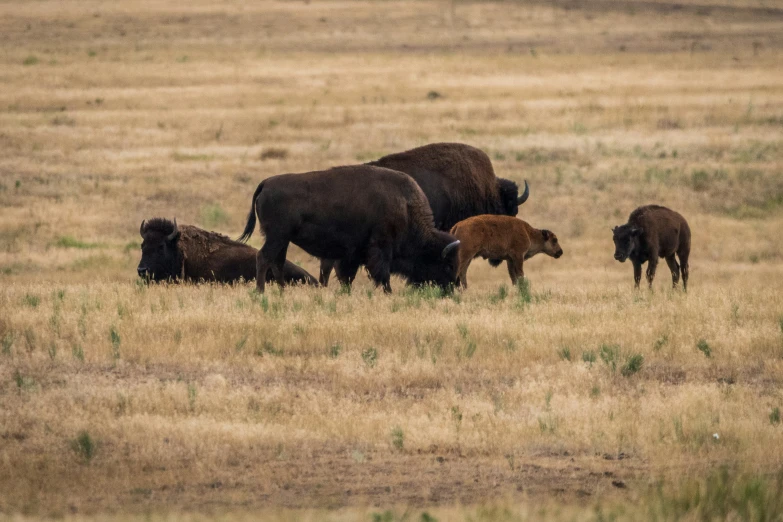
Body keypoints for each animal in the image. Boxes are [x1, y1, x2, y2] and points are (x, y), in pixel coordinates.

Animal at [237, 165, 460, 290]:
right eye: (447, 265)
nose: (451, 289)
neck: (405, 205)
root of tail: (267, 183)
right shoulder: (380, 248)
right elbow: (382, 275)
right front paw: (387, 292)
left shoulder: (353, 255)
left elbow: (348, 277)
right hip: (277, 237)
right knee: (264, 258)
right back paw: (260, 292)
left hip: (282, 239)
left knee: (278, 262)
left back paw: (282, 292)